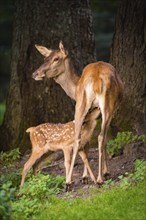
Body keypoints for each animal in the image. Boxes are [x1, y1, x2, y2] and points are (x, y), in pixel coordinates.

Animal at [32, 41, 123, 187]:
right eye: (45, 58)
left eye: (56, 58)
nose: (35, 73)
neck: (74, 89)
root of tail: (97, 79)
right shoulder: (99, 113)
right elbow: (95, 141)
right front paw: (102, 172)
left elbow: (86, 142)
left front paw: (86, 176)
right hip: (105, 107)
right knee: (100, 137)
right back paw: (98, 178)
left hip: (82, 105)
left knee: (79, 138)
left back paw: (70, 181)